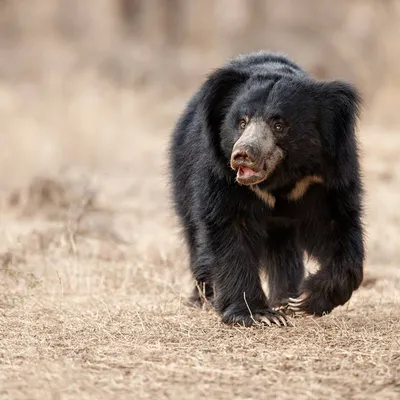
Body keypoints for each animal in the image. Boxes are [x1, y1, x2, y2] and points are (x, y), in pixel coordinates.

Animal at [167, 50, 364, 326]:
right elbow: (229, 230)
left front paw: (304, 299)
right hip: (182, 177)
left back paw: (284, 298)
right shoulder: (220, 175)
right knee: (195, 236)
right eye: (241, 122)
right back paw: (204, 298)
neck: (278, 180)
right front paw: (258, 315)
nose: (242, 155)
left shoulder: (325, 176)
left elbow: (337, 226)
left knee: (284, 252)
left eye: (279, 125)